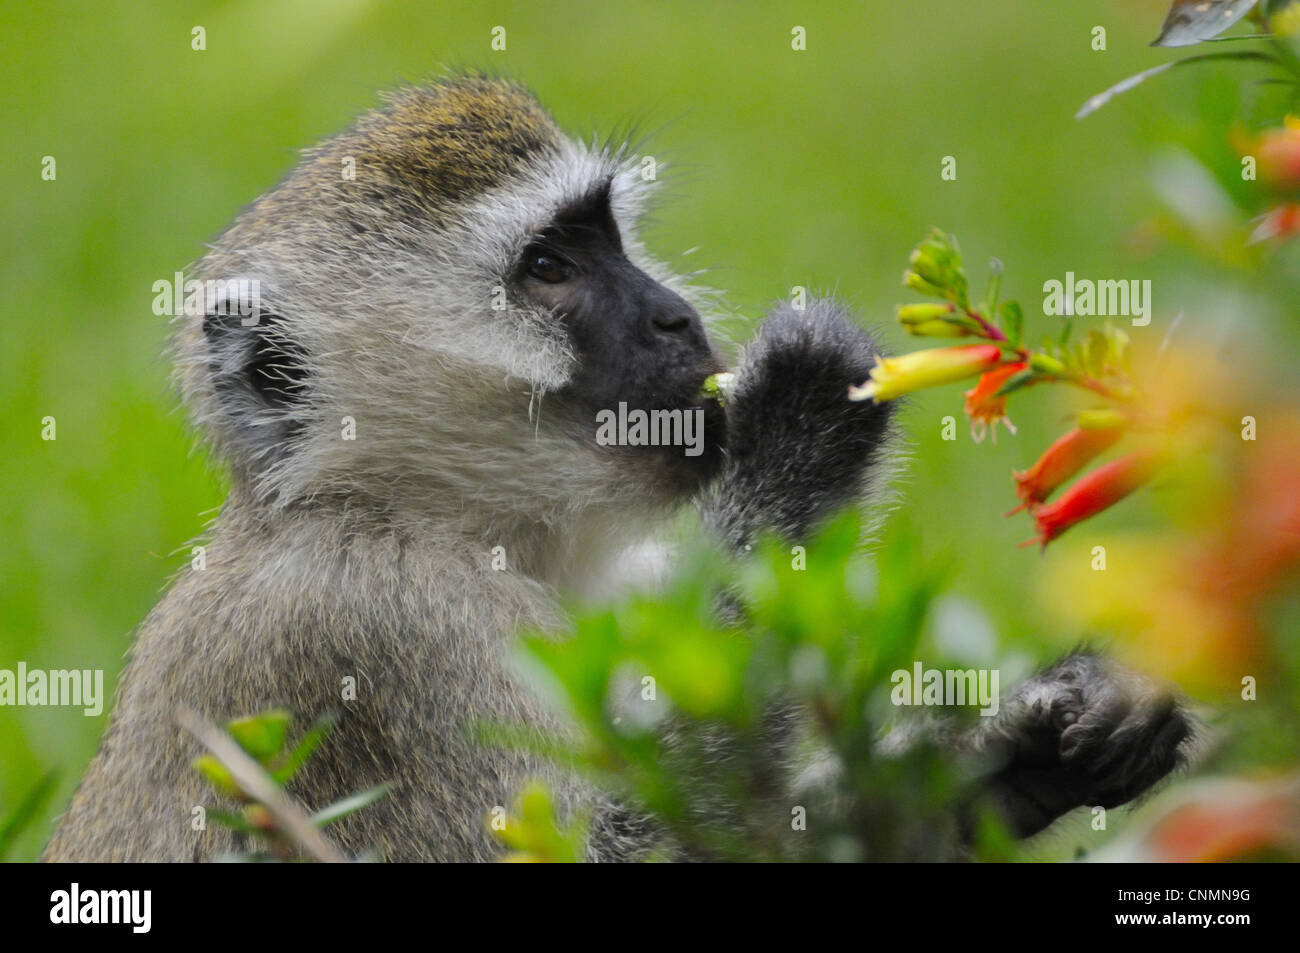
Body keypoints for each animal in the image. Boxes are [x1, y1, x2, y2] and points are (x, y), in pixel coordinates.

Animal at [45, 76, 1190, 863]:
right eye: (548, 268)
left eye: (609, 240)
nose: (676, 317)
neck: (434, 521)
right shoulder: (373, 633)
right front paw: (800, 419)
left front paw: (1037, 742)